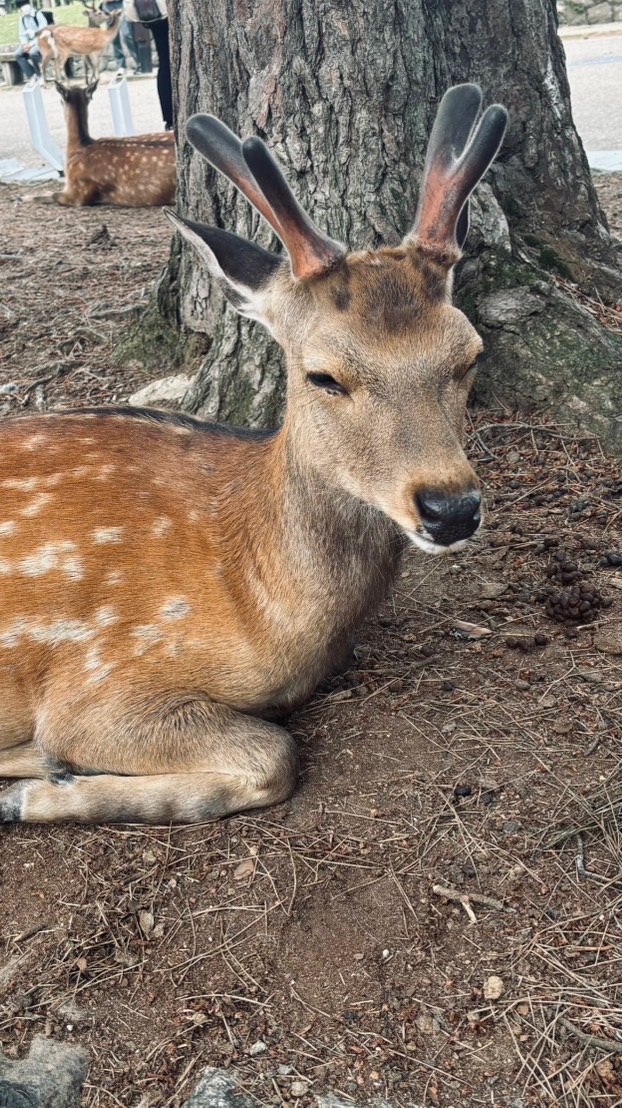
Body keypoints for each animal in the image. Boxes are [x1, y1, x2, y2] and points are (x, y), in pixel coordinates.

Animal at [0, 86, 505, 828]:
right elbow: (275, 754)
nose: (451, 508)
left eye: (470, 356)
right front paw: (33, 788)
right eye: (323, 375)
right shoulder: (98, 680)